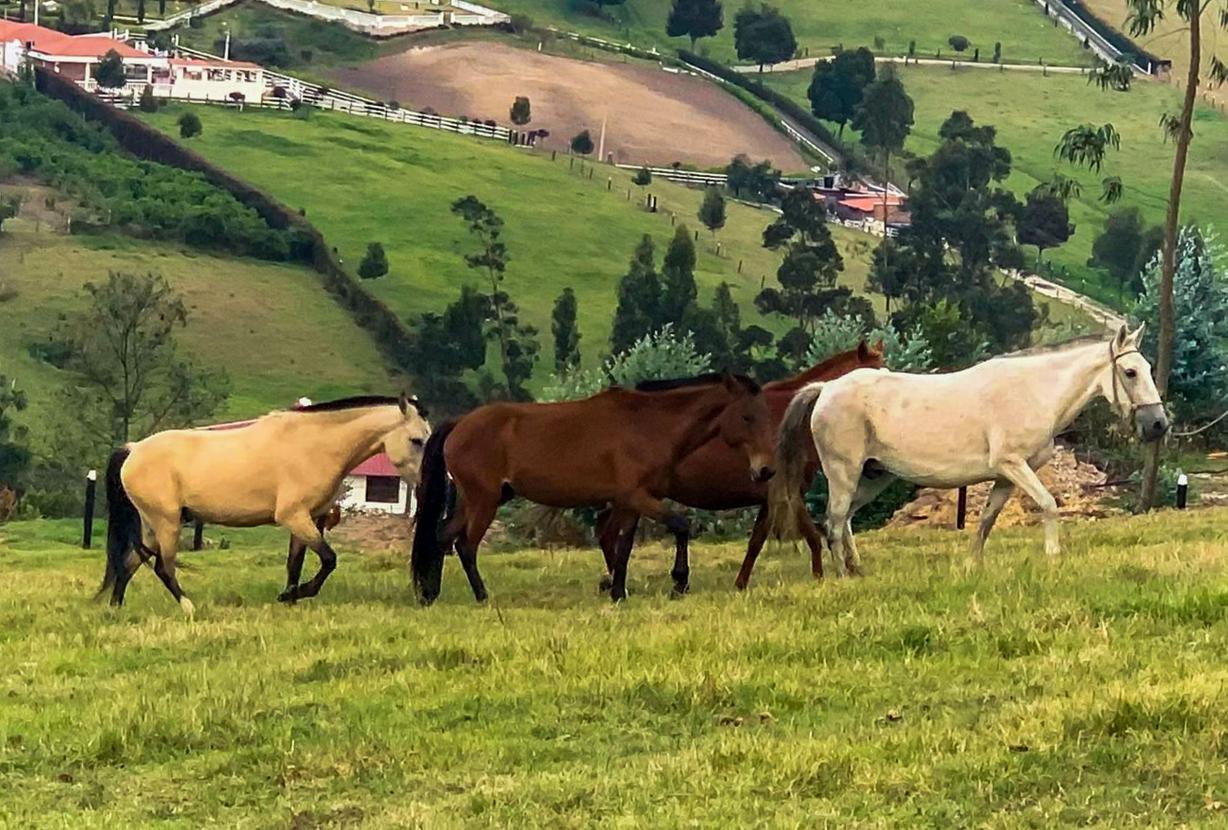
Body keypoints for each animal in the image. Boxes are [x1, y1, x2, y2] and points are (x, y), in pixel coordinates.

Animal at [99, 395, 432, 616]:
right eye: (417, 440)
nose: (425, 483)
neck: (314, 446)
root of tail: (133, 450)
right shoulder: (294, 516)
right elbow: (329, 560)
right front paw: (295, 595)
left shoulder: (310, 518)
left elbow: (295, 564)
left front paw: (291, 597)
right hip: (166, 523)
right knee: (162, 567)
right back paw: (189, 607)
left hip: (152, 526)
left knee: (129, 564)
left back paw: (116, 609)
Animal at [415, 373, 776, 604]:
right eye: (747, 417)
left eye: (765, 416)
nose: (765, 469)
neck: (650, 426)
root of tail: (460, 423)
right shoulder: (638, 497)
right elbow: (680, 526)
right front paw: (679, 582)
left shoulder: (631, 502)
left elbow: (623, 545)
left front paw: (618, 591)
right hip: (484, 501)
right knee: (465, 545)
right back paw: (481, 595)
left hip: (477, 499)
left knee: (443, 537)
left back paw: (430, 592)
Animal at [594, 341, 884, 589]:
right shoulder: (788, 492)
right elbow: (812, 536)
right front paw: (819, 576)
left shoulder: (770, 498)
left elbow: (756, 542)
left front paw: (741, 584)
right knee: (609, 533)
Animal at [771, 326, 1164, 574]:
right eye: (1130, 372)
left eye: (1148, 368)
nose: (1158, 424)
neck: (1033, 391)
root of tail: (825, 388)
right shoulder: (1013, 465)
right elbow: (1048, 505)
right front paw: (1053, 558)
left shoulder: (1005, 477)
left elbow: (987, 520)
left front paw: (971, 566)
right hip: (844, 473)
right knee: (833, 523)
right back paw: (841, 576)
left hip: (873, 477)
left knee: (846, 519)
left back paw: (857, 569)